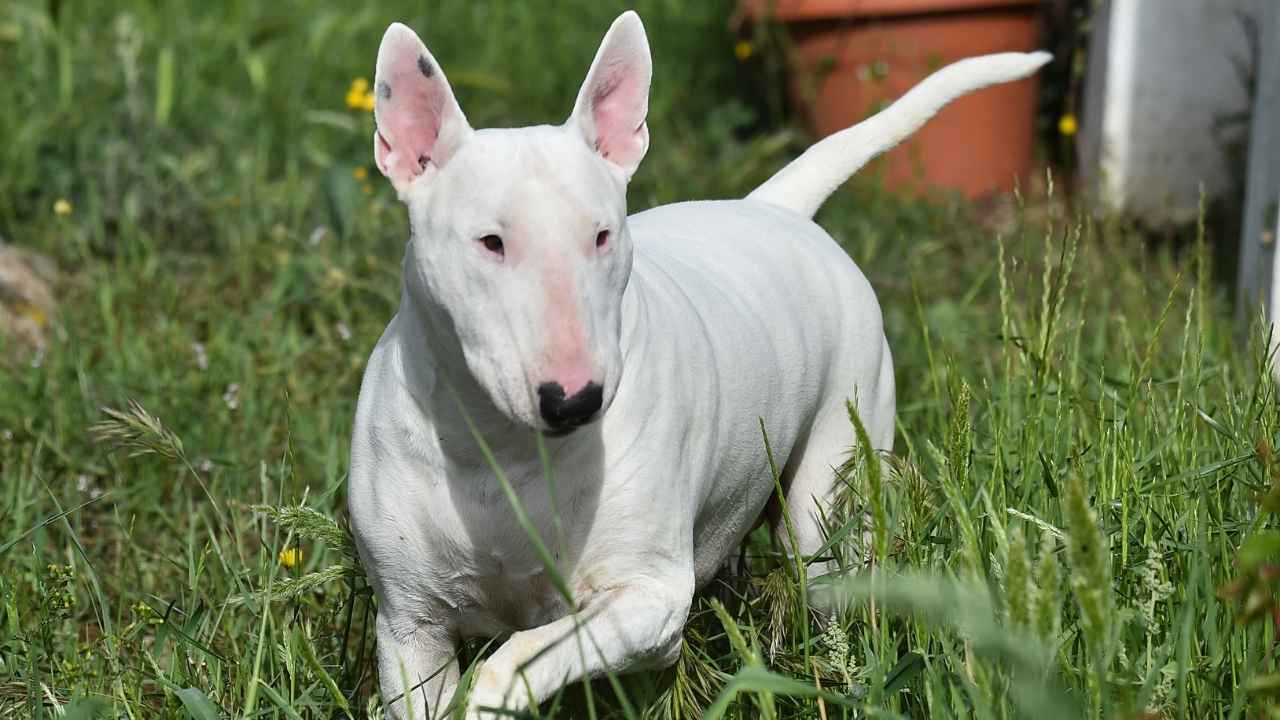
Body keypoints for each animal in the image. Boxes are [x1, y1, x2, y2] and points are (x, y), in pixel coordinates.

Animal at [345, 12, 1044, 717]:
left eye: (602, 235)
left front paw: (490, 696)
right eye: (490, 242)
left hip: (833, 485)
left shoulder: (648, 599)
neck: (502, 448)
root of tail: (772, 207)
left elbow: (514, 661)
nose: (575, 400)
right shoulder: (409, 627)